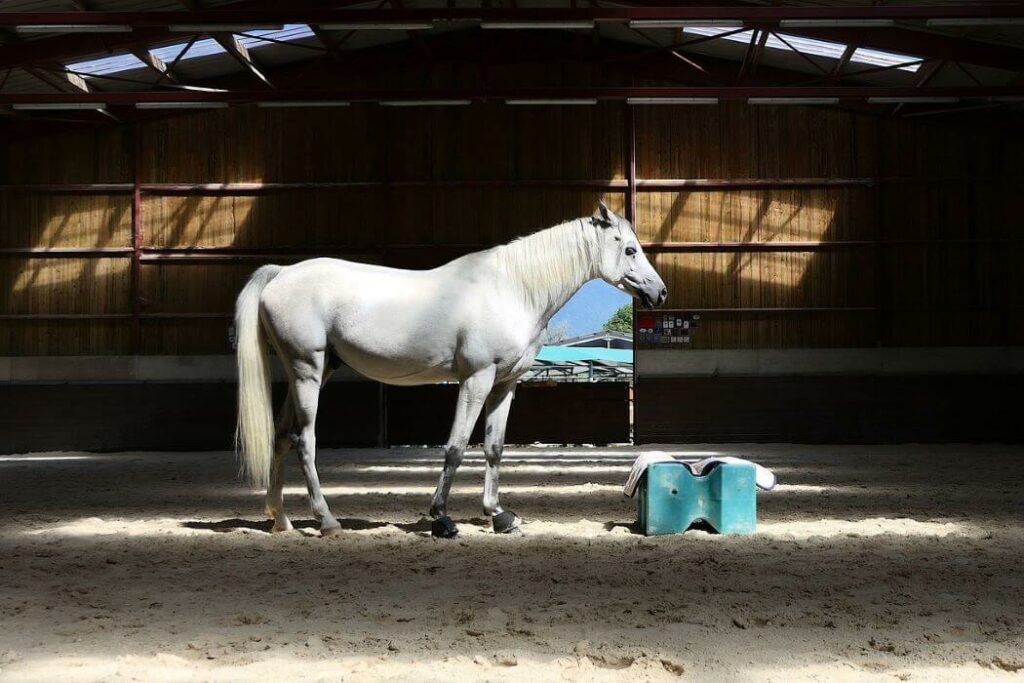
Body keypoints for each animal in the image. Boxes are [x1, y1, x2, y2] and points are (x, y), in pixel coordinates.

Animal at [234, 200, 663, 536]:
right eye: (629, 250)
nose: (659, 293)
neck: (513, 288)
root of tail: (282, 273)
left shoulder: (504, 385)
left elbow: (493, 448)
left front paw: (499, 516)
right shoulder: (476, 379)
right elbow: (456, 447)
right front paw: (441, 519)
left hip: (310, 373)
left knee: (282, 436)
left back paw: (282, 521)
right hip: (307, 370)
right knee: (304, 440)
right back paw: (326, 521)